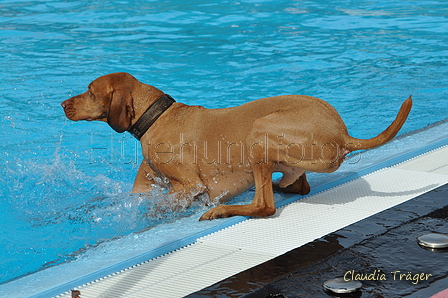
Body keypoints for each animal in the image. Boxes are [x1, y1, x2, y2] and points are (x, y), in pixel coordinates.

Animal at [60, 72, 412, 220]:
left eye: (90, 91)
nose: (63, 104)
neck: (158, 116)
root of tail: (343, 134)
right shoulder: (147, 186)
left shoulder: (188, 185)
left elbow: (163, 206)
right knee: (295, 187)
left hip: (259, 134)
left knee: (265, 206)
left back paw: (223, 209)